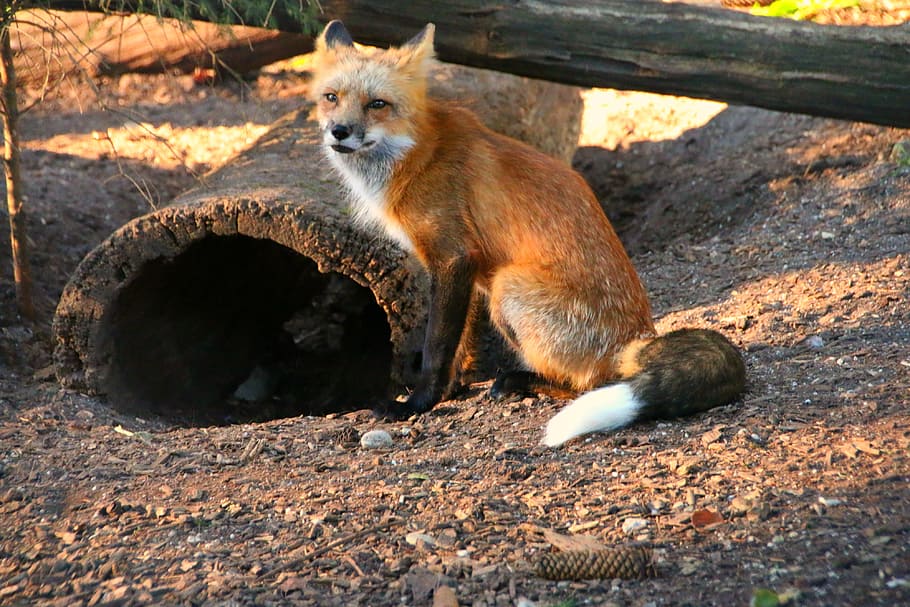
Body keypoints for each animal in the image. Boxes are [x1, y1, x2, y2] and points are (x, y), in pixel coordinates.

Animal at [309, 20, 746, 447]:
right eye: (331, 97)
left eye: (377, 104)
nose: (339, 131)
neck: (415, 155)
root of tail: (637, 337)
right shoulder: (467, 266)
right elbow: (461, 343)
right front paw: (450, 391)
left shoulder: (451, 256)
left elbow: (437, 345)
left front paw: (419, 403)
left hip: (508, 287)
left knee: (591, 383)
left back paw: (521, 382)